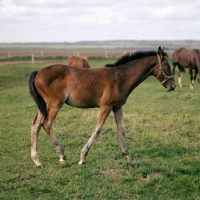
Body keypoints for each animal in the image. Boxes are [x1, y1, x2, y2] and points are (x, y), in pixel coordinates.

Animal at [28, 47, 175, 167]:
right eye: (167, 66)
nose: (172, 86)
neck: (120, 77)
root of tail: (38, 72)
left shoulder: (117, 107)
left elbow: (121, 129)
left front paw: (127, 155)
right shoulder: (106, 106)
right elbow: (97, 129)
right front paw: (82, 158)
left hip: (44, 105)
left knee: (36, 125)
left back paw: (37, 160)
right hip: (54, 104)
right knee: (46, 124)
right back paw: (62, 156)